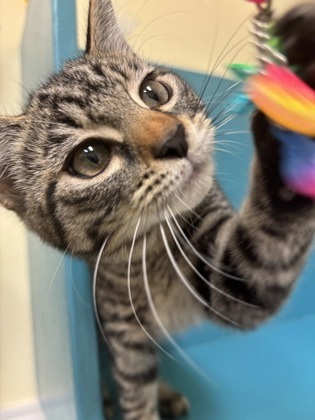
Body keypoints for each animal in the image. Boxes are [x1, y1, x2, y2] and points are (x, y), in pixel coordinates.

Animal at [0, 0, 315, 418]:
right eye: (90, 157)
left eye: (153, 92)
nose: (174, 138)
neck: (152, 251)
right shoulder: (123, 325)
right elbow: (134, 389)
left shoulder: (224, 272)